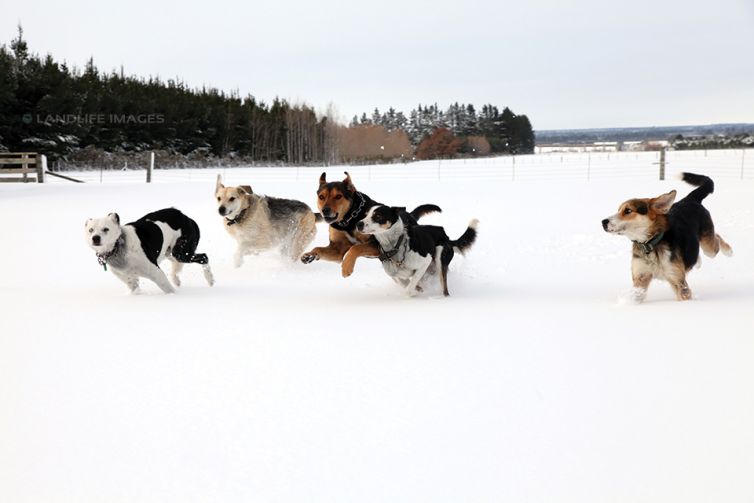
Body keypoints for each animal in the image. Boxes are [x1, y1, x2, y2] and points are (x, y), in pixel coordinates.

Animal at [85, 209, 214, 296]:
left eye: (106, 229)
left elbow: (167, 287)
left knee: (204, 257)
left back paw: (210, 279)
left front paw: (173, 296)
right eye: (91, 230)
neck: (118, 246)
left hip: (182, 253)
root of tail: (186, 217)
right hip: (171, 253)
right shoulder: (129, 279)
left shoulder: (156, 272)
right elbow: (134, 288)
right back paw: (176, 279)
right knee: (177, 264)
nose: (95, 238)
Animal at [300, 171, 440, 278]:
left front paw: (346, 268)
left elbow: (355, 248)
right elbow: (319, 248)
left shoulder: (376, 244)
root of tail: (409, 215)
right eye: (321, 197)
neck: (348, 220)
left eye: (338, 196)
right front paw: (309, 255)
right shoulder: (338, 249)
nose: (325, 210)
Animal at [600, 172, 728, 304]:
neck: (650, 244)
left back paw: (729, 251)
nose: (603, 222)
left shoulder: (679, 282)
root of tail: (690, 199)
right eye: (619, 210)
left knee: (717, 238)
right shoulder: (640, 278)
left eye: (628, 210)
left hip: (709, 247)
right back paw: (697, 261)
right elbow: (635, 296)